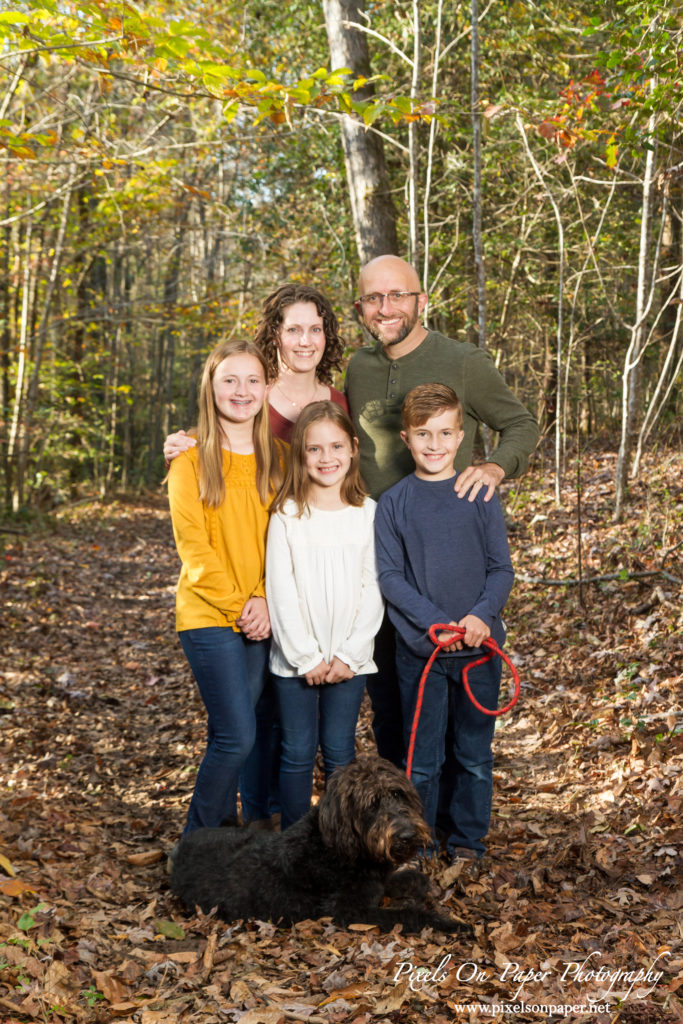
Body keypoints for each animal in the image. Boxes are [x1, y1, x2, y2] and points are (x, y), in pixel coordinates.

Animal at [169, 757, 464, 933]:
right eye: (371, 805)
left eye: (397, 793)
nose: (406, 834)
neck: (335, 848)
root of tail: (180, 849)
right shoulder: (351, 913)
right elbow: (407, 914)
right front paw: (446, 922)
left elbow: (397, 880)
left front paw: (421, 882)